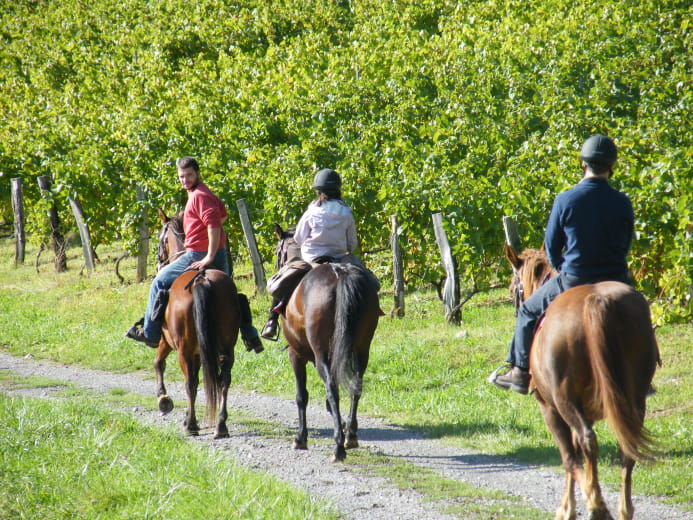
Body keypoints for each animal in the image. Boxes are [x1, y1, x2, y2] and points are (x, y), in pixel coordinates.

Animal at [151, 209, 241, 436]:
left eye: (160, 239)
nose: (159, 262)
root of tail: (201, 279)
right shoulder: (200, 351)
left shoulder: (167, 341)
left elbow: (159, 363)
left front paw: (164, 399)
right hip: (225, 347)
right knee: (224, 380)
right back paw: (220, 425)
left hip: (182, 349)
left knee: (189, 383)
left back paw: (191, 425)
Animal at [274, 225, 382, 462]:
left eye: (278, 251)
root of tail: (339, 273)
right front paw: (342, 427)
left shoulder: (296, 354)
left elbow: (302, 396)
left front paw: (301, 438)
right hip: (362, 349)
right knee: (355, 387)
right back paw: (350, 436)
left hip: (321, 352)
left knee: (332, 388)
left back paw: (338, 447)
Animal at [502, 245, 660, 520]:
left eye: (514, 288)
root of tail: (597, 300)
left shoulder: (550, 409)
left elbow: (569, 457)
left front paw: (569, 508)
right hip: (634, 400)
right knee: (625, 447)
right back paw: (623, 509)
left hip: (563, 401)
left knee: (585, 443)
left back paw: (597, 506)